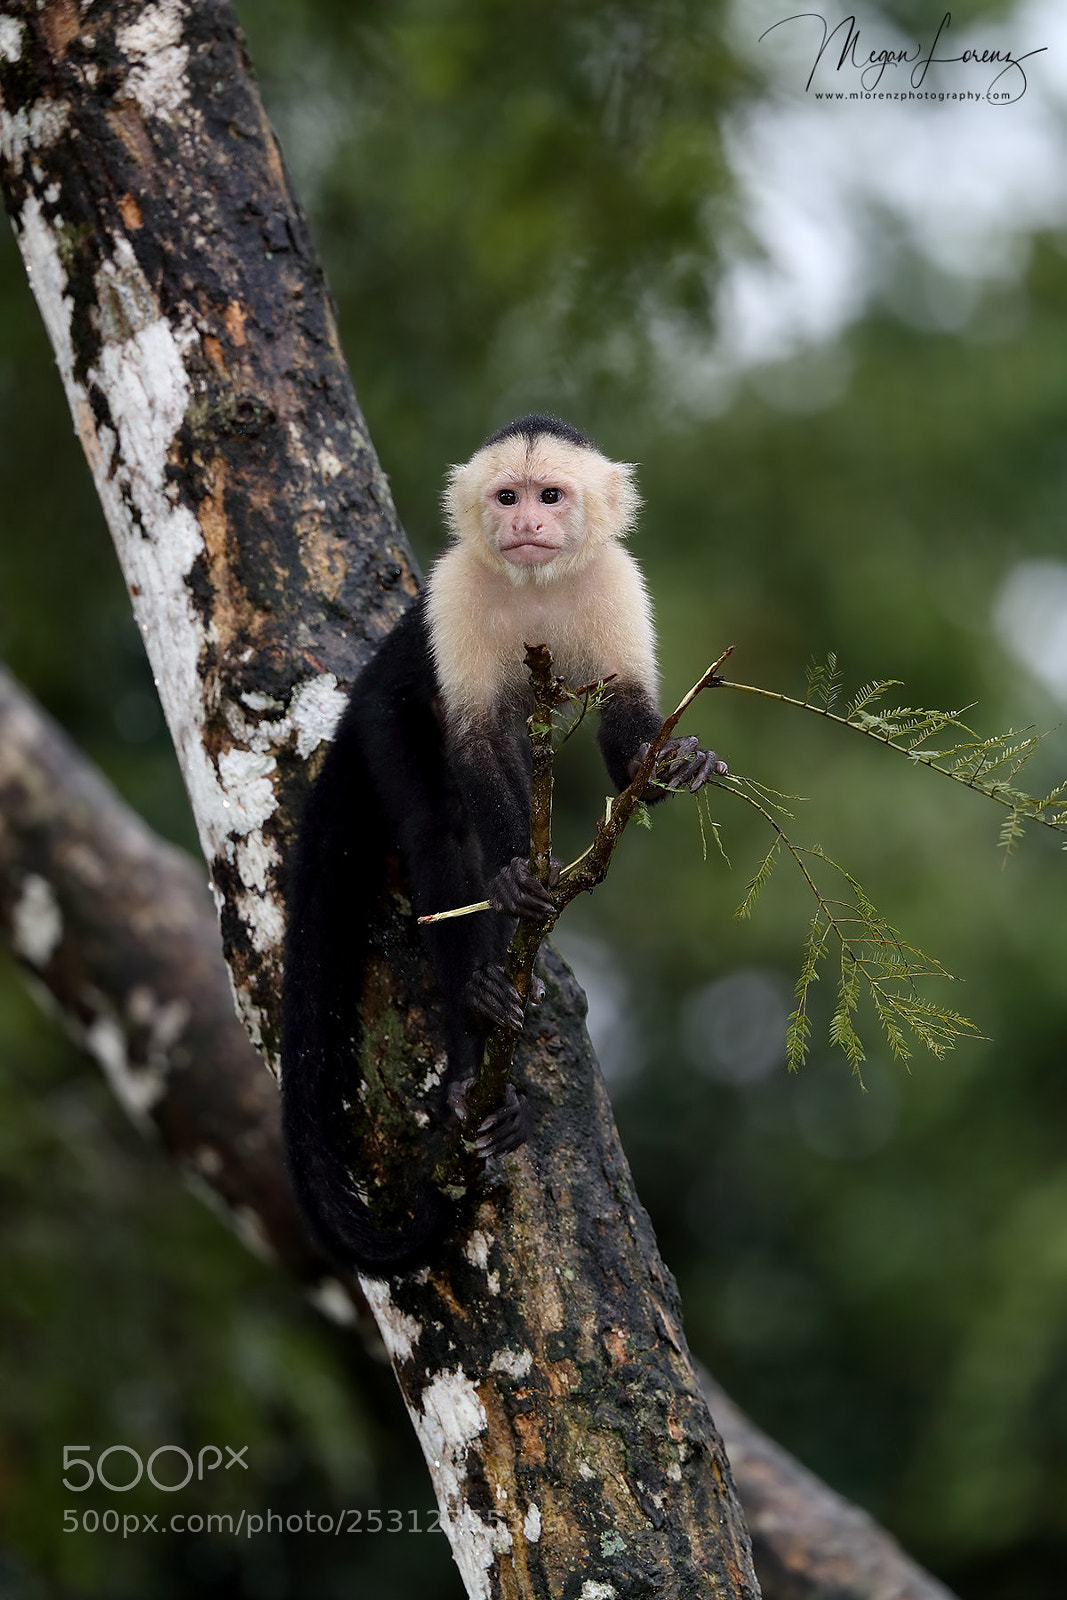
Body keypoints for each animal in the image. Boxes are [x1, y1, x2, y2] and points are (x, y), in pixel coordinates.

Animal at [281, 415, 726, 1273]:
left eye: (549, 495)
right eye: (507, 497)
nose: (526, 525)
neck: (535, 588)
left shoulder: (616, 582)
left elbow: (624, 726)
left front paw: (670, 764)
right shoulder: (455, 589)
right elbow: (477, 742)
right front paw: (521, 875)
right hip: (382, 713)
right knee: (442, 824)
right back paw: (476, 1025)